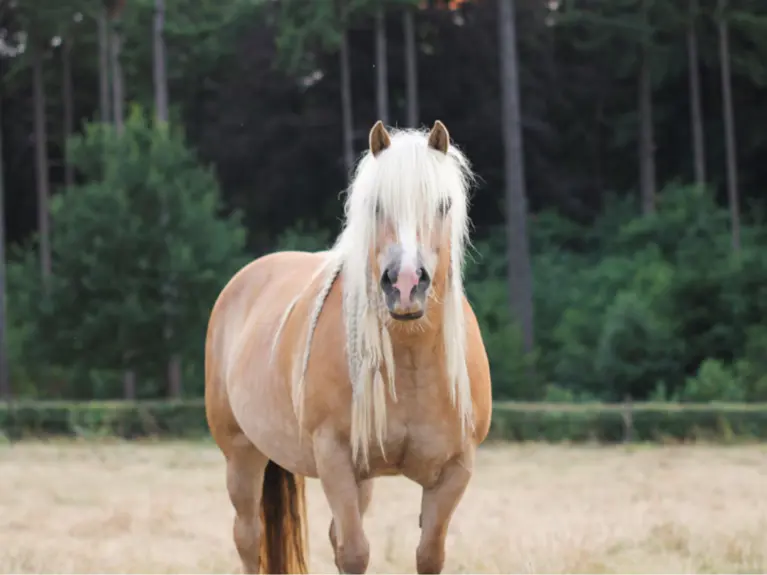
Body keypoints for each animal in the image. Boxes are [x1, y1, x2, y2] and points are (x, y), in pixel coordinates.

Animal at [204, 119, 492, 572]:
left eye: (444, 204)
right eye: (375, 205)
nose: (405, 285)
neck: (411, 361)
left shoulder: (454, 470)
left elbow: (429, 554)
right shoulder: (335, 459)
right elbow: (354, 553)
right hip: (241, 454)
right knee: (249, 539)